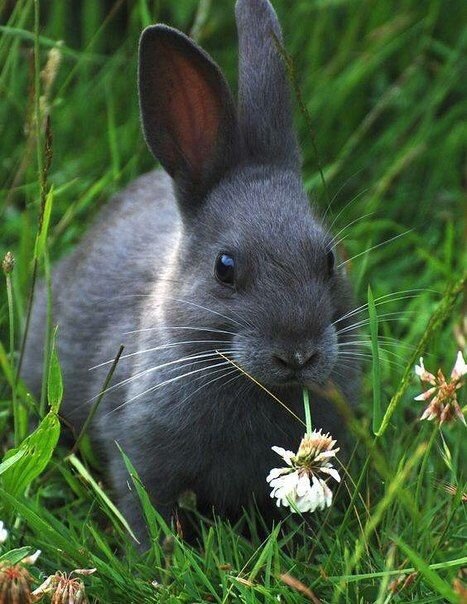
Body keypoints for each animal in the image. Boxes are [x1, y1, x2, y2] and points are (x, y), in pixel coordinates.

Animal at [22, 0, 362, 548]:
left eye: (329, 259)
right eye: (225, 268)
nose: (298, 355)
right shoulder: (140, 456)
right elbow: (145, 509)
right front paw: (154, 558)